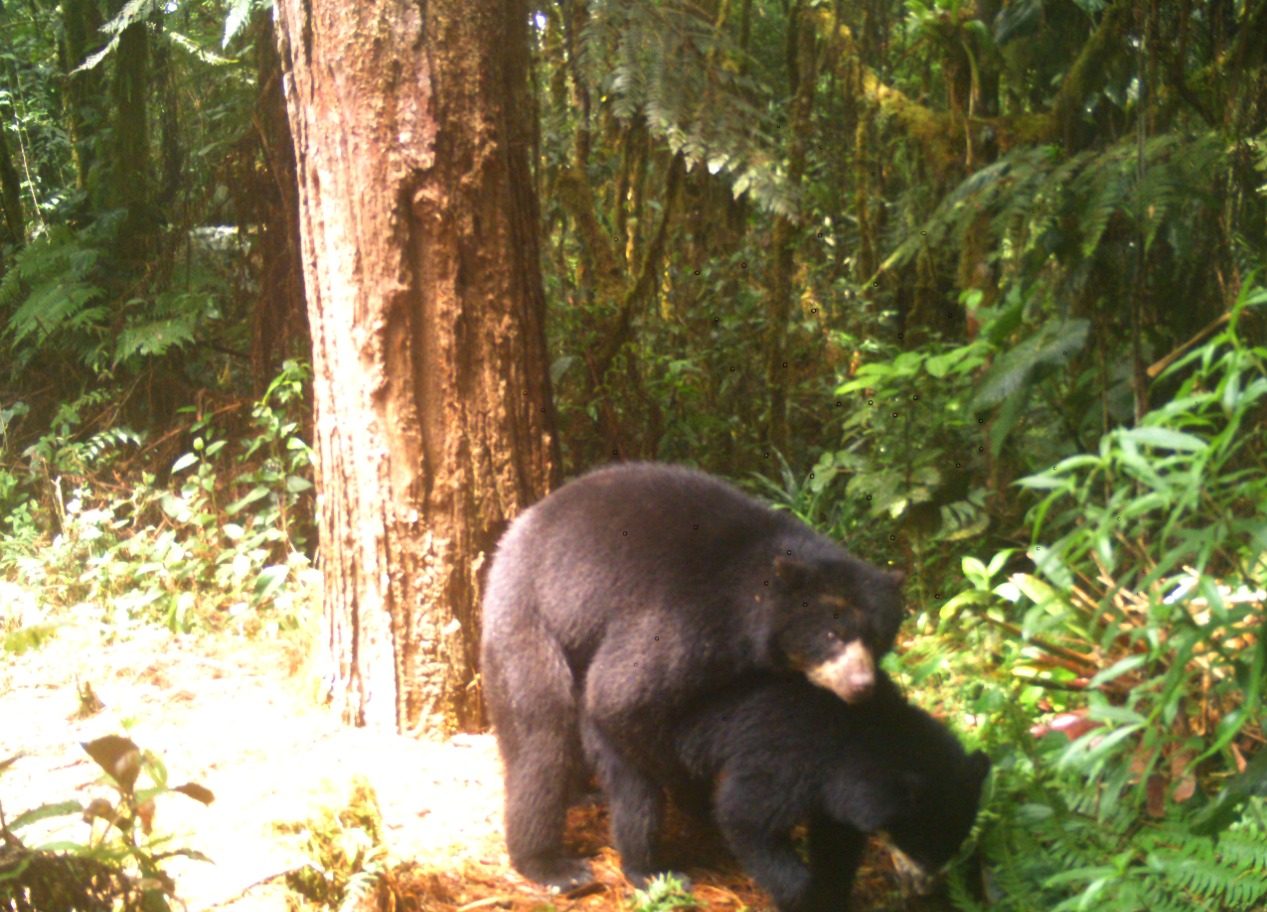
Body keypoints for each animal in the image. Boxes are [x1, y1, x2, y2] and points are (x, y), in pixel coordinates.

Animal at [480, 462, 905, 889]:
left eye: (877, 637)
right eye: (832, 636)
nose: (861, 686)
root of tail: (510, 540)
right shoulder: (685, 619)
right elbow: (619, 696)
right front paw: (694, 796)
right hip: (528, 623)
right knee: (542, 737)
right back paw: (556, 864)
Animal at [582, 670, 990, 912]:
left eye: (954, 844)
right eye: (920, 846)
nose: (926, 888)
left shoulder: (835, 790)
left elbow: (835, 839)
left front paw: (835, 892)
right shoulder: (787, 756)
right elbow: (745, 818)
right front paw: (807, 897)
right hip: (625, 734)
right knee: (638, 804)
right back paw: (648, 871)